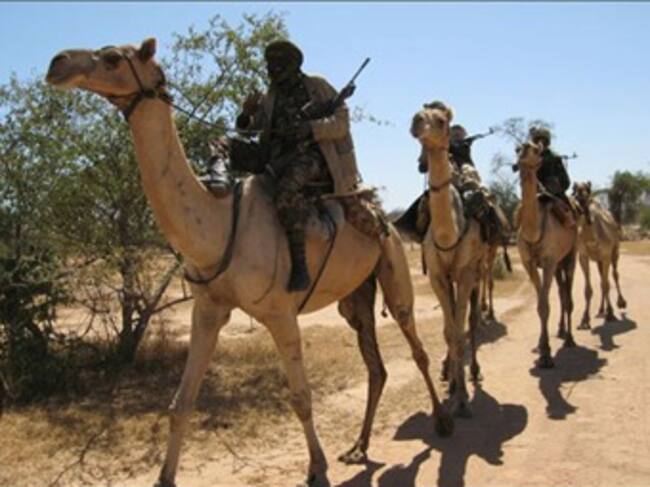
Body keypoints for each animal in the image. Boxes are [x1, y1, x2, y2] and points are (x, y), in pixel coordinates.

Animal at [46, 38, 452, 487]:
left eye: (113, 57)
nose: (57, 63)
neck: (221, 224)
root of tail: (383, 219)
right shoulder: (208, 309)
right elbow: (180, 402)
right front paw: (164, 477)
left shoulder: (280, 313)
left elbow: (301, 398)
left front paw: (317, 470)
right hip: (356, 295)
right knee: (375, 366)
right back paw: (358, 447)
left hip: (393, 269)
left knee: (416, 346)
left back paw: (442, 422)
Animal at [515, 141, 577, 368]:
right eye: (518, 149)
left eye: (536, 149)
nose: (524, 151)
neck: (533, 231)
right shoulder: (529, 263)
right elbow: (540, 304)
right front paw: (541, 348)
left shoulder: (549, 261)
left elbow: (545, 305)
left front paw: (547, 355)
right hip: (558, 264)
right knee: (561, 292)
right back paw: (560, 331)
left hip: (570, 256)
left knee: (568, 296)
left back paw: (570, 339)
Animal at [572, 181, 627, 326]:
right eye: (575, 188)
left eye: (588, 187)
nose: (582, 195)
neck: (592, 239)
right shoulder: (583, 257)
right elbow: (588, 289)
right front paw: (584, 318)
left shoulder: (606, 255)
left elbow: (606, 284)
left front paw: (611, 314)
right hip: (598, 261)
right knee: (603, 279)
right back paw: (601, 309)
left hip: (615, 252)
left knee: (614, 275)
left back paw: (621, 303)